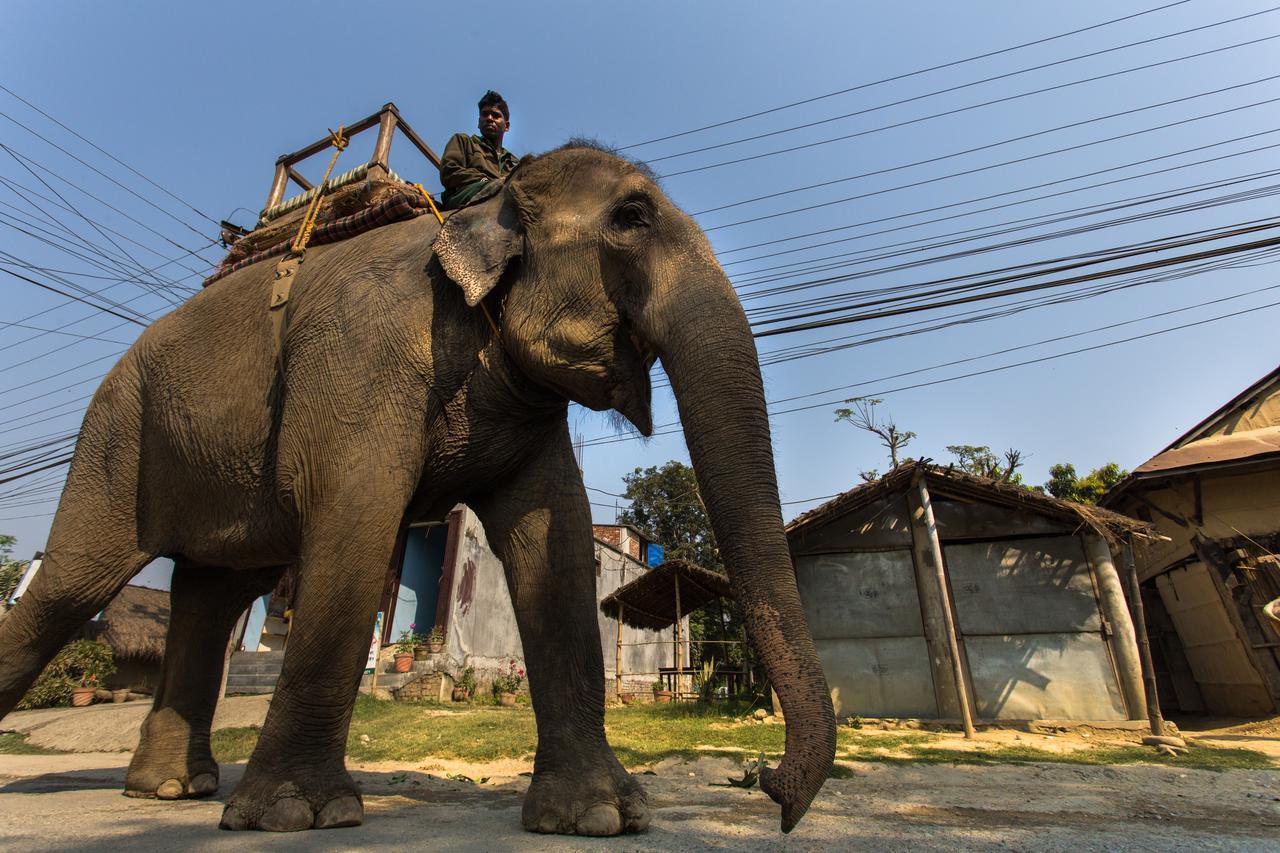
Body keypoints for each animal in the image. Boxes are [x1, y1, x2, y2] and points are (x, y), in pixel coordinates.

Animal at [0, 142, 839, 835]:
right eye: (631, 218)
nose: (770, 787)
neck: (480, 214)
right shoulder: (361, 357)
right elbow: (358, 515)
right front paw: (299, 814)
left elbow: (558, 541)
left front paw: (603, 817)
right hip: (116, 433)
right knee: (69, 587)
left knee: (212, 595)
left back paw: (170, 789)